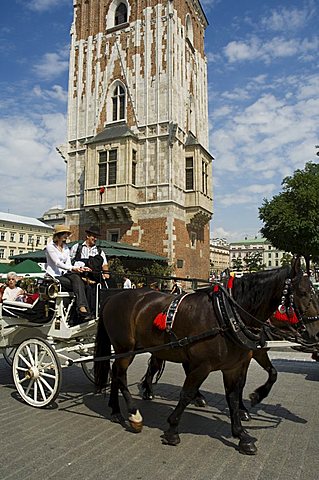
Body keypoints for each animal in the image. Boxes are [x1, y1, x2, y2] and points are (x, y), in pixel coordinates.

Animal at [94, 258, 319, 454]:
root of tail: (113, 297)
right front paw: (172, 429)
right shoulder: (203, 365)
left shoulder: (235, 365)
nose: (315, 334)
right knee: (121, 375)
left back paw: (116, 410)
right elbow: (186, 393)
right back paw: (134, 414)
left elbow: (235, 395)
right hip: (125, 347)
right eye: (302, 292)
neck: (228, 315)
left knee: (118, 372)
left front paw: (242, 433)